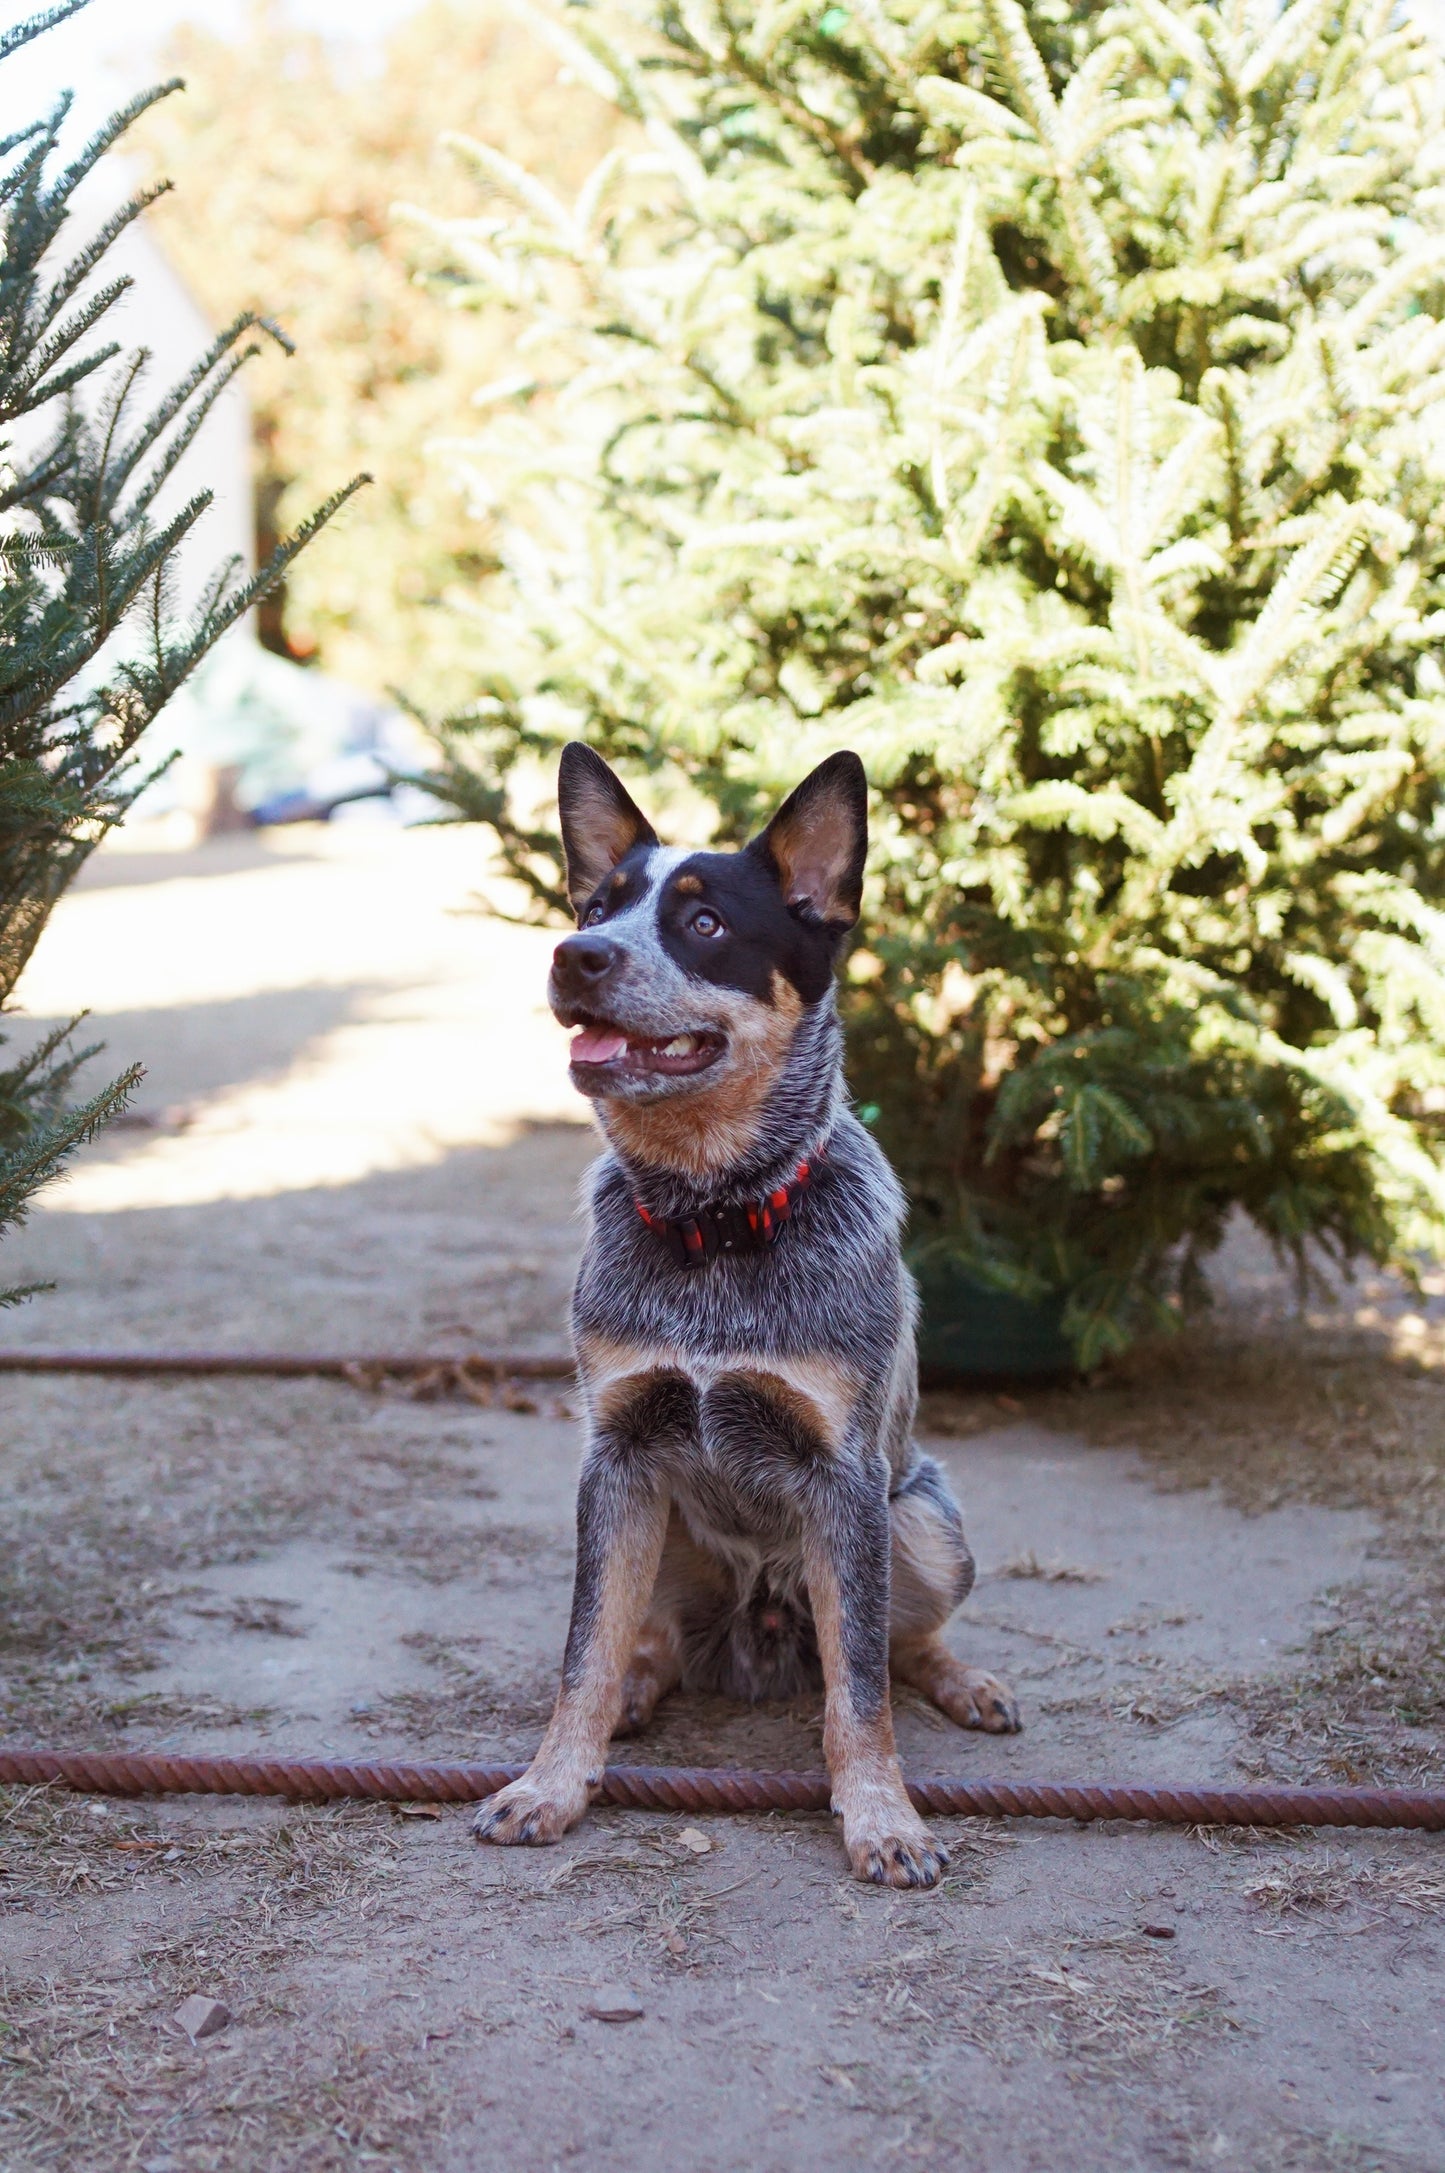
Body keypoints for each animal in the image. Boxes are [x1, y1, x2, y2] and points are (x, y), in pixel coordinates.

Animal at [473, 743, 1012, 1886]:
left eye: (705, 921)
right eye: (597, 904)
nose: (575, 954)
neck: (712, 1221)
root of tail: (760, 1626)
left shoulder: (845, 1477)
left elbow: (861, 1691)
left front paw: (883, 1817)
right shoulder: (618, 1457)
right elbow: (582, 1654)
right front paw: (551, 1783)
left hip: (922, 1518)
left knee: (899, 1644)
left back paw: (961, 1678)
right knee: (645, 1644)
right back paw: (640, 1691)